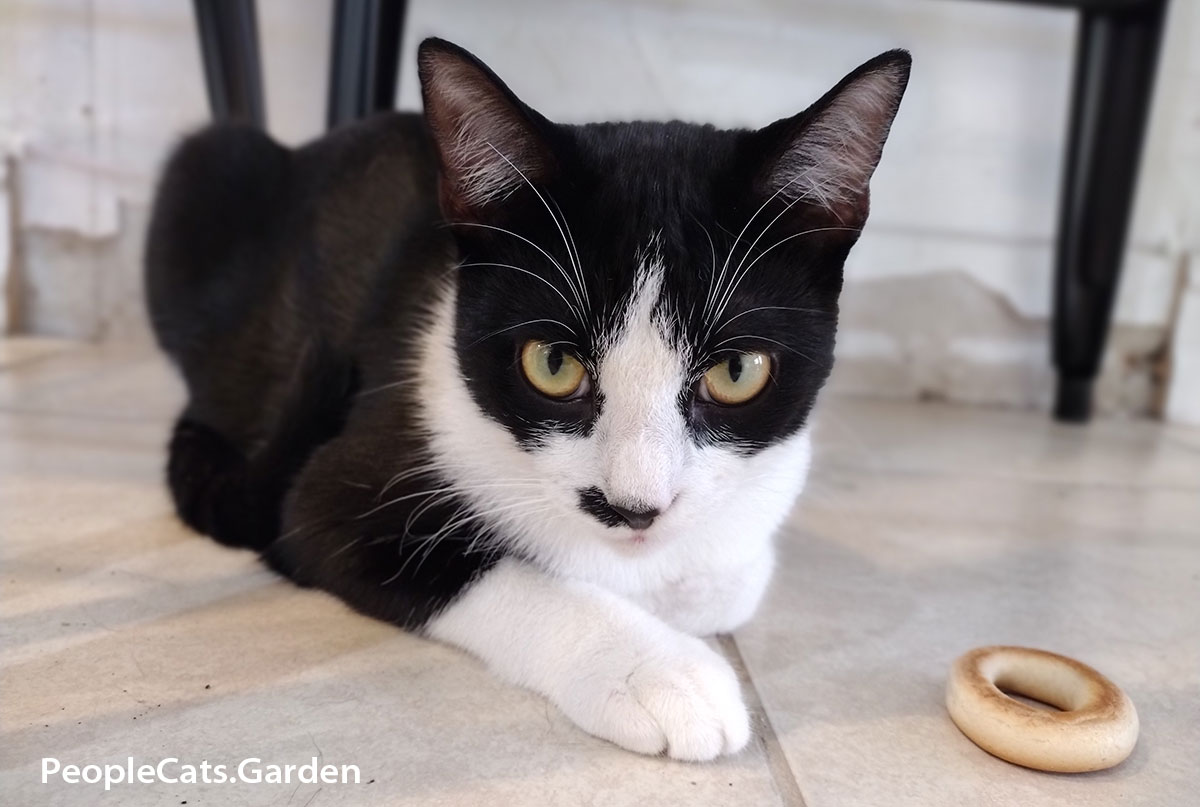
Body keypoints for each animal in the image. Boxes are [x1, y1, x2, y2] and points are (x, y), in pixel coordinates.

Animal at [145, 36, 907, 758]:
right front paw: (659, 670)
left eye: (737, 372)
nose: (633, 508)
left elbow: (728, 579)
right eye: (553, 363)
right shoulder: (340, 481)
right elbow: (468, 561)